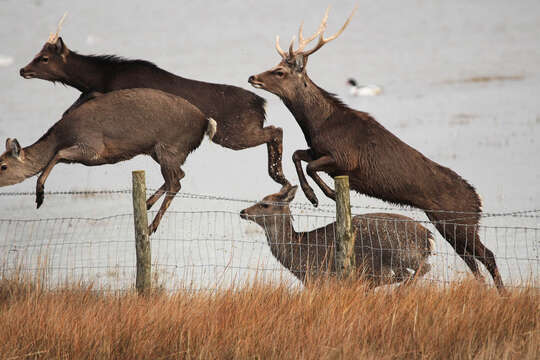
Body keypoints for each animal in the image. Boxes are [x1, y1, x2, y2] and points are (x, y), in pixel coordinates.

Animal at [0, 88, 215, 232]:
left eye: (3, 166)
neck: (62, 135)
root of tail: (205, 123)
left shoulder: (91, 148)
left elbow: (58, 155)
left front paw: (39, 196)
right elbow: (58, 157)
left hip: (169, 148)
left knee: (176, 182)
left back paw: (151, 226)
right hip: (160, 151)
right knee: (179, 176)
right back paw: (147, 203)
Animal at [240, 186, 434, 286]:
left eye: (265, 204)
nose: (243, 211)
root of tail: (427, 235)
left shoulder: (320, 277)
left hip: (401, 253)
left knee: (423, 268)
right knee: (406, 274)